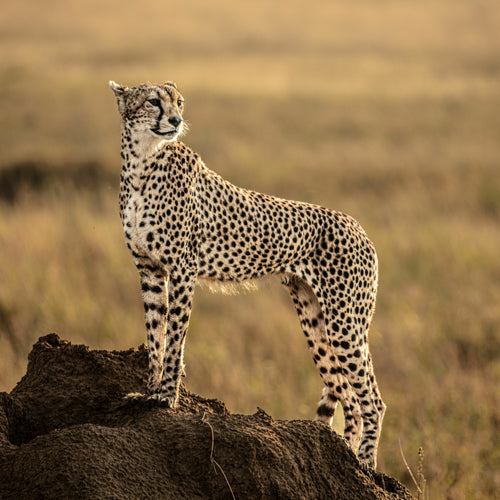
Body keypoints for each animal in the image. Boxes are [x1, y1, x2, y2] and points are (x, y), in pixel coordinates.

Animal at [110, 80, 386, 466]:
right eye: (153, 101)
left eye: (179, 102)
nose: (176, 120)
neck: (142, 161)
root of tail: (357, 226)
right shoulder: (148, 269)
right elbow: (155, 335)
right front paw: (149, 394)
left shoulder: (182, 270)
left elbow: (175, 338)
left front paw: (167, 397)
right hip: (315, 320)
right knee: (350, 399)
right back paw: (345, 457)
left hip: (345, 322)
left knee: (372, 401)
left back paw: (365, 465)